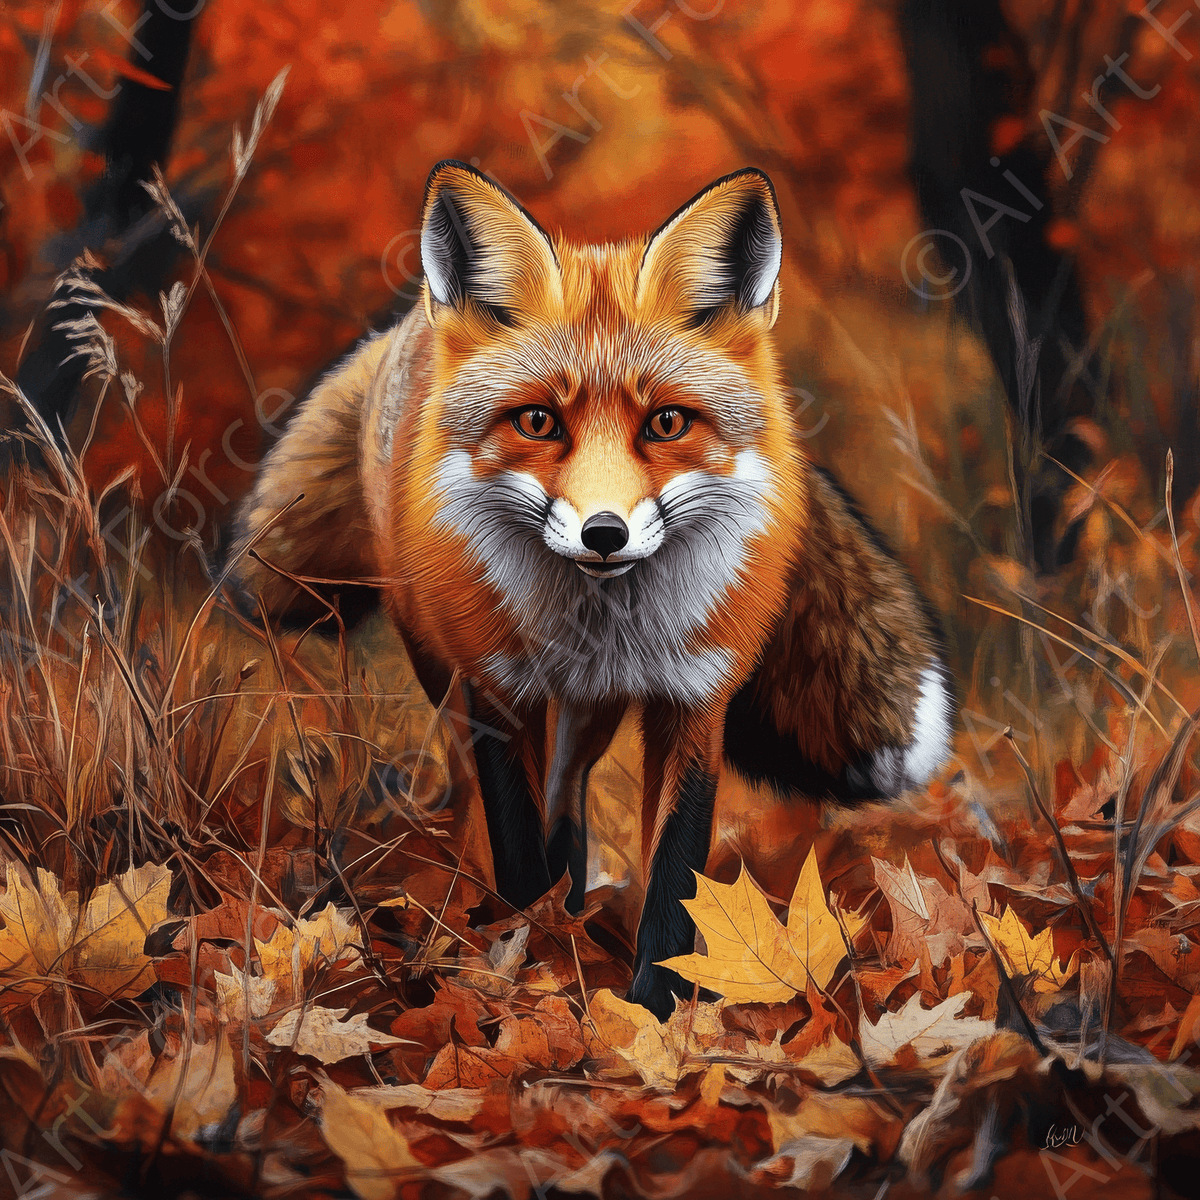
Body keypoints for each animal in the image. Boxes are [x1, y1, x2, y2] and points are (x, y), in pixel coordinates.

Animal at [228, 160, 953, 1018]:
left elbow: (677, 871)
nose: (603, 532)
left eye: (667, 423)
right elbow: (514, 841)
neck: (602, 621)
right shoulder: (497, 690)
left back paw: (573, 903)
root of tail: (406, 327)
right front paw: (524, 958)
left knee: (568, 793)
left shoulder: (694, 701)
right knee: (486, 787)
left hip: (593, 711)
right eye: (538, 422)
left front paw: (657, 1008)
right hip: (445, 669)